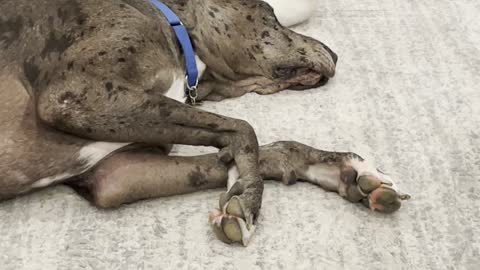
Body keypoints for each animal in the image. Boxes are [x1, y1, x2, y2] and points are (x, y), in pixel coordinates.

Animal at [0, 0, 408, 245]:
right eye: (271, 14)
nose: (336, 54)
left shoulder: (117, 173)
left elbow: (264, 149)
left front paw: (344, 170)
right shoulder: (74, 95)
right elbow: (243, 128)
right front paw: (248, 194)